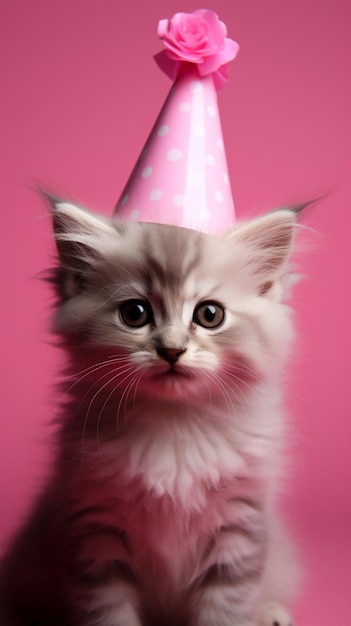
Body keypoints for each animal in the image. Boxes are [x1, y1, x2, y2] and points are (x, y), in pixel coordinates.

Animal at [0, 201, 302, 624]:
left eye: (210, 314)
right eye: (135, 313)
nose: (172, 351)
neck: (173, 423)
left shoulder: (240, 528)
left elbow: (226, 610)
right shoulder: (93, 530)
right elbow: (111, 611)